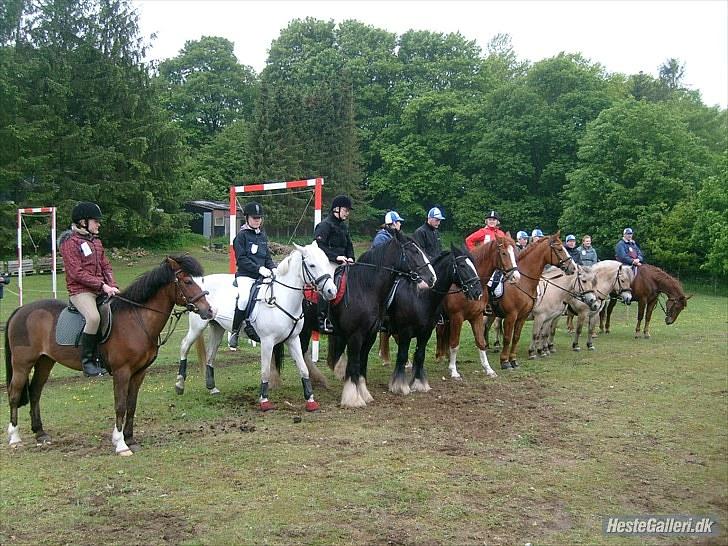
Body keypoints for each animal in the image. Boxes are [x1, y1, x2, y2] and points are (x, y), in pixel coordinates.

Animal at [5, 255, 212, 454]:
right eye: (187, 281)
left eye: (201, 280)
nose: (209, 311)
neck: (137, 319)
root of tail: (21, 310)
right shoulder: (122, 371)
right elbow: (120, 405)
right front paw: (121, 445)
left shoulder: (139, 373)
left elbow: (131, 404)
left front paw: (130, 439)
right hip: (23, 364)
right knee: (15, 393)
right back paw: (14, 438)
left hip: (45, 361)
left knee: (35, 392)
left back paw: (40, 433)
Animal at [176, 241, 338, 408]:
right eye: (312, 265)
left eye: (326, 263)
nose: (332, 291)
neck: (282, 297)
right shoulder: (267, 342)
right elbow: (265, 371)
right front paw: (264, 400)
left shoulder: (293, 339)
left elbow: (303, 368)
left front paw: (310, 400)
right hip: (197, 327)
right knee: (184, 346)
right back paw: (180, 384)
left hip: (217, 328)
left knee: (210, 355)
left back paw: (211, 387)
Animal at [382, 246, 484, 396]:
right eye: (462, 265)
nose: (478, 292)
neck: (420, 297)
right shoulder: (405, 332)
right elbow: (402, 355)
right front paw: (400, 386)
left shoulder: (426, 332)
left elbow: (420, 355)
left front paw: (419, 383)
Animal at [432, 236, 524, 376]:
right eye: (503, 253)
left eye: (515, 252)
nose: (516, 277)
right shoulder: (456, 317)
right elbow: (455, 343)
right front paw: (453, 370)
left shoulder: (477, 316)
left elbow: (480, 342)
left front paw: (488, 369)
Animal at [494, 232, 576, 368]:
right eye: (560, 249)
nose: (573, 268)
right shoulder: (515, 316)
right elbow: (514, 336)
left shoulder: (537, 316)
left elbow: (527, 335)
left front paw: (541, 350)